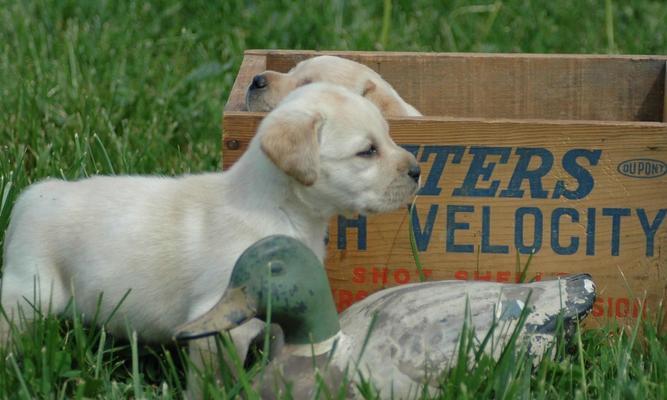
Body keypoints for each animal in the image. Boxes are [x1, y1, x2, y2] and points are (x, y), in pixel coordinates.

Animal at [0, 82, 422, 344]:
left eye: (388, 136)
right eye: (367, 151)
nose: (418, 171)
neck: (280, 209)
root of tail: (33, 195)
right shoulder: (221, 318)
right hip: (32, 291)